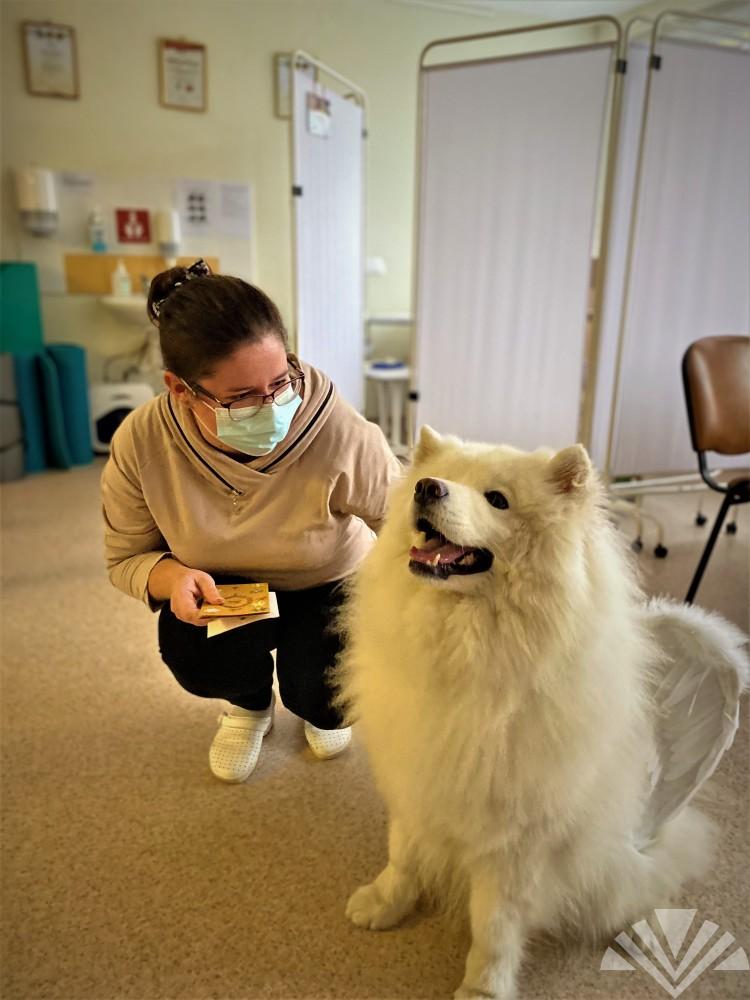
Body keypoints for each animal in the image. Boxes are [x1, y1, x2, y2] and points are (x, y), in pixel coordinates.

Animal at [337, 426, 748, 999]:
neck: (467, 652)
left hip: (623, 851)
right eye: (439, 478)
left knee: (646, 886)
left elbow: (494, 924)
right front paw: (383, 904)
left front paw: (483, 987)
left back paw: (645, 933)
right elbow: (403, 856)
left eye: (497, 499)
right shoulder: (418, 782)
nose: (426, 487)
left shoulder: (517, 841)